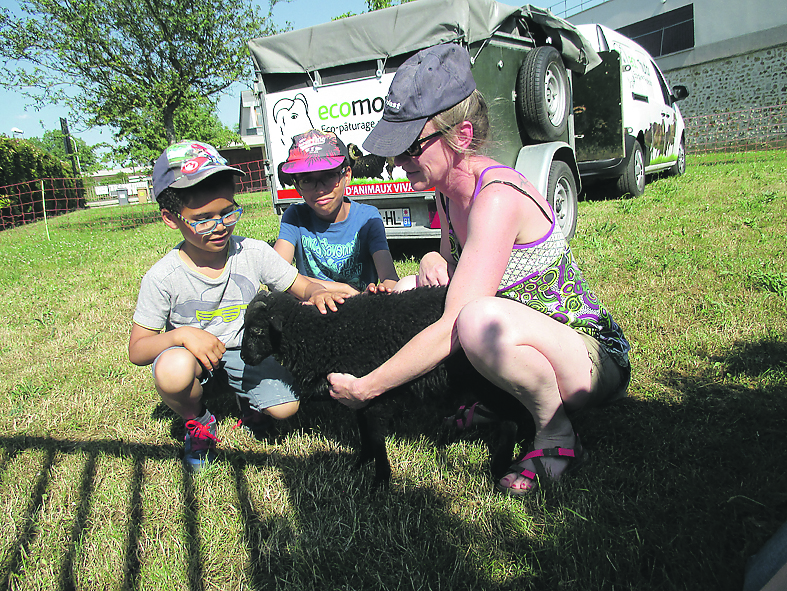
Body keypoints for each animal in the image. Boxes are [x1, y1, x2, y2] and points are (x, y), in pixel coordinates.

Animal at [242, 288, 536, 490]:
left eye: (256, 331)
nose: (244, 357)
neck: (321, 335)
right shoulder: (359, 395)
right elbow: (364, 434)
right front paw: (359, 464)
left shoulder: (374, 396)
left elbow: (374, 435)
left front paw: (380, 480)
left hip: (489, 383)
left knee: (514, 419)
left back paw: (505, 464)